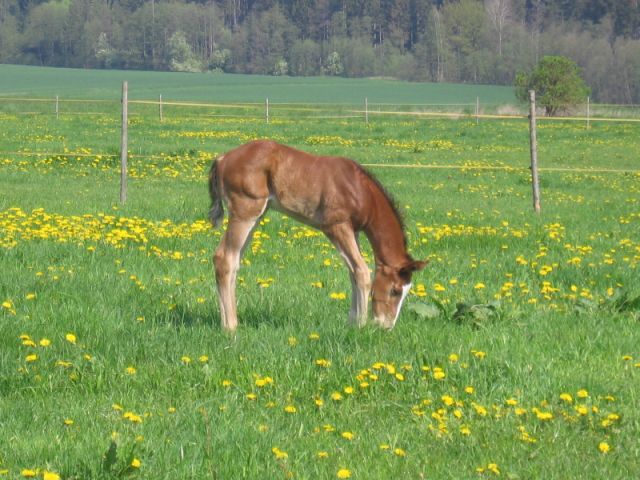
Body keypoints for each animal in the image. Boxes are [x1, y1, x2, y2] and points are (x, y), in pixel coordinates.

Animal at [210, 139, 428, 330]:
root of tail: (223, 158)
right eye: (395, 290)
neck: (360, 190)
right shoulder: (337, 226)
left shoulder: (353, 231)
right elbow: (362, 271)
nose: (386, 326)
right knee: (224, 258)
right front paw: (360, 325)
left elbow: (353, 271)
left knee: (235, 261)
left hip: (257, 214)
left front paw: (352, 322)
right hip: (245, 211)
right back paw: (230, 327)